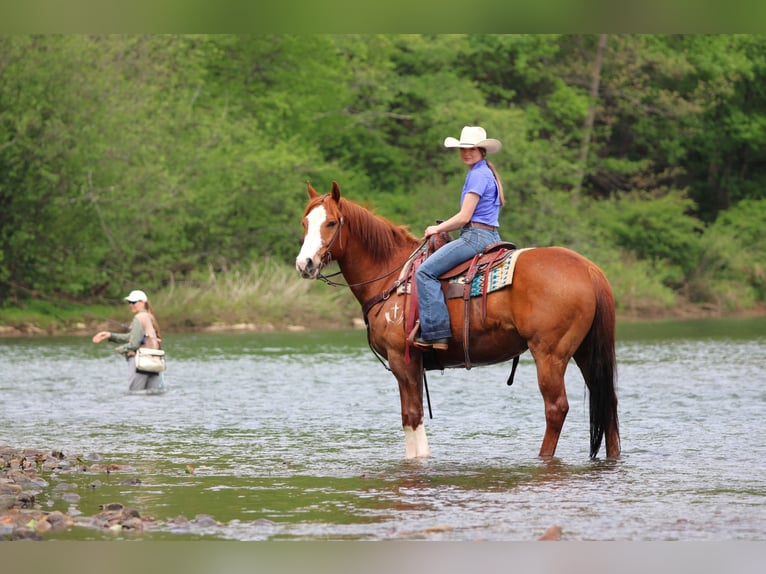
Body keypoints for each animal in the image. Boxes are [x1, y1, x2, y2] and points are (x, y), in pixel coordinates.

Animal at [296, 181, 620, 460]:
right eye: (305, 222)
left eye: (331, 223)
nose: (304, 264)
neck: (391, 274)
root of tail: (588, 268)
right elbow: (410, 416)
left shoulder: (403, 360)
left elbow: (412, 416)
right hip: (585, 351)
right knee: (607, 401)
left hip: (550, 354)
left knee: (556, 408)